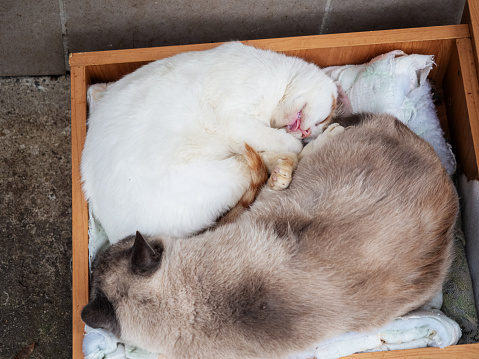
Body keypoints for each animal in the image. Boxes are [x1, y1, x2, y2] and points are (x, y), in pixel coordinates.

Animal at [80, 42, 340, 245]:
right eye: (323, 118)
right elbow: (289, 144)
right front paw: (300, 144)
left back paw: (285, 169)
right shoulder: (237, 122)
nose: (308, 132)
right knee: (278, 159)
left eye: (317, 125)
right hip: (225, 170)